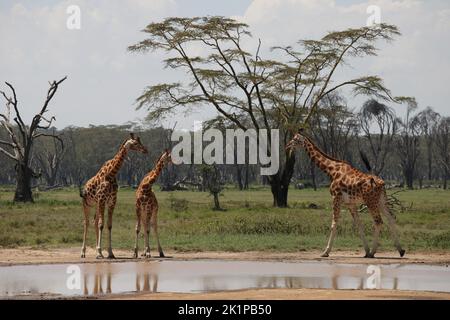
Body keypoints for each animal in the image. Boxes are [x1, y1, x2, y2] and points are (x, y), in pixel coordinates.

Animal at [286, 129, 406, 258]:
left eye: (295, 139)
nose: (287, 145)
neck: (331, 171)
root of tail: (382, 183)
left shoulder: (336, 198)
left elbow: (334, 223)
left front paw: (325, 252)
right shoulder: (350, 203)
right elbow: (359, 225)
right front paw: (366, 250)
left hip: (371, 202)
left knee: (379, 222)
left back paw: (373, 252)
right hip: (381, 201)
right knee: (391, 218)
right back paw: (400, 250)